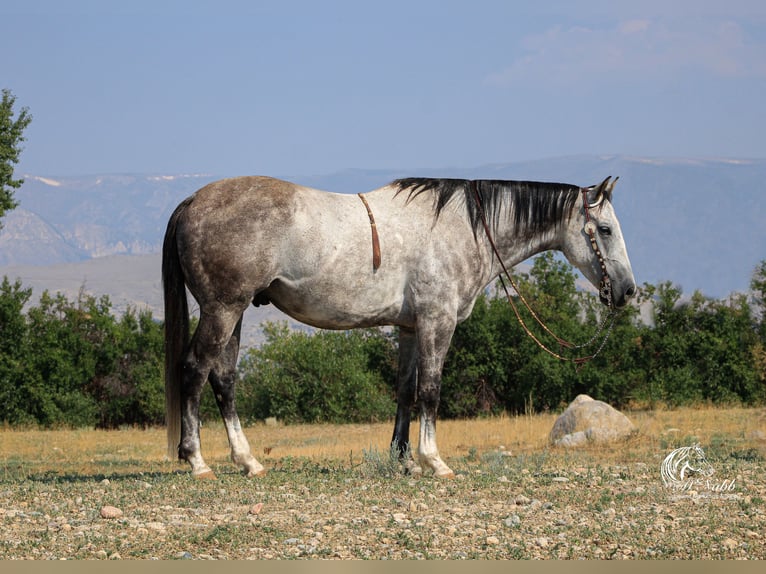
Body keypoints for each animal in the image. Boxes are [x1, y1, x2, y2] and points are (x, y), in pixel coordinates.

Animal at [160, 173, 636, 480]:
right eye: (605, 229)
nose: (628, 291)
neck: (463, 227)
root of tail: (192, 202)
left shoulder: (410, 329)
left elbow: (406, 392)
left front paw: (404, 459)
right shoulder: (437, 322)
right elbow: (431, 390)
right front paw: (434, 461)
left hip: (234, 312)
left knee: (223, 380)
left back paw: (247, 461)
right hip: (222, 310)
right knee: (195, 371)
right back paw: (197, 462)